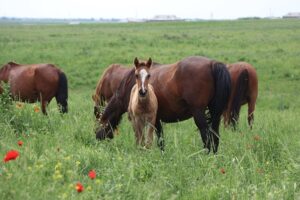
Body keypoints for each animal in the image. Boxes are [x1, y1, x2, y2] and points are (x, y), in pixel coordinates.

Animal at [96, 56, 230, 153]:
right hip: (215, 113)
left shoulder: (149, 120)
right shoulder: (156, 120)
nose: (97, 138)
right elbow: (160, 139)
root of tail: (213, 63)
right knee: (215, 135)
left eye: (99, 124)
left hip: (198, 113)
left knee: (206, 135)